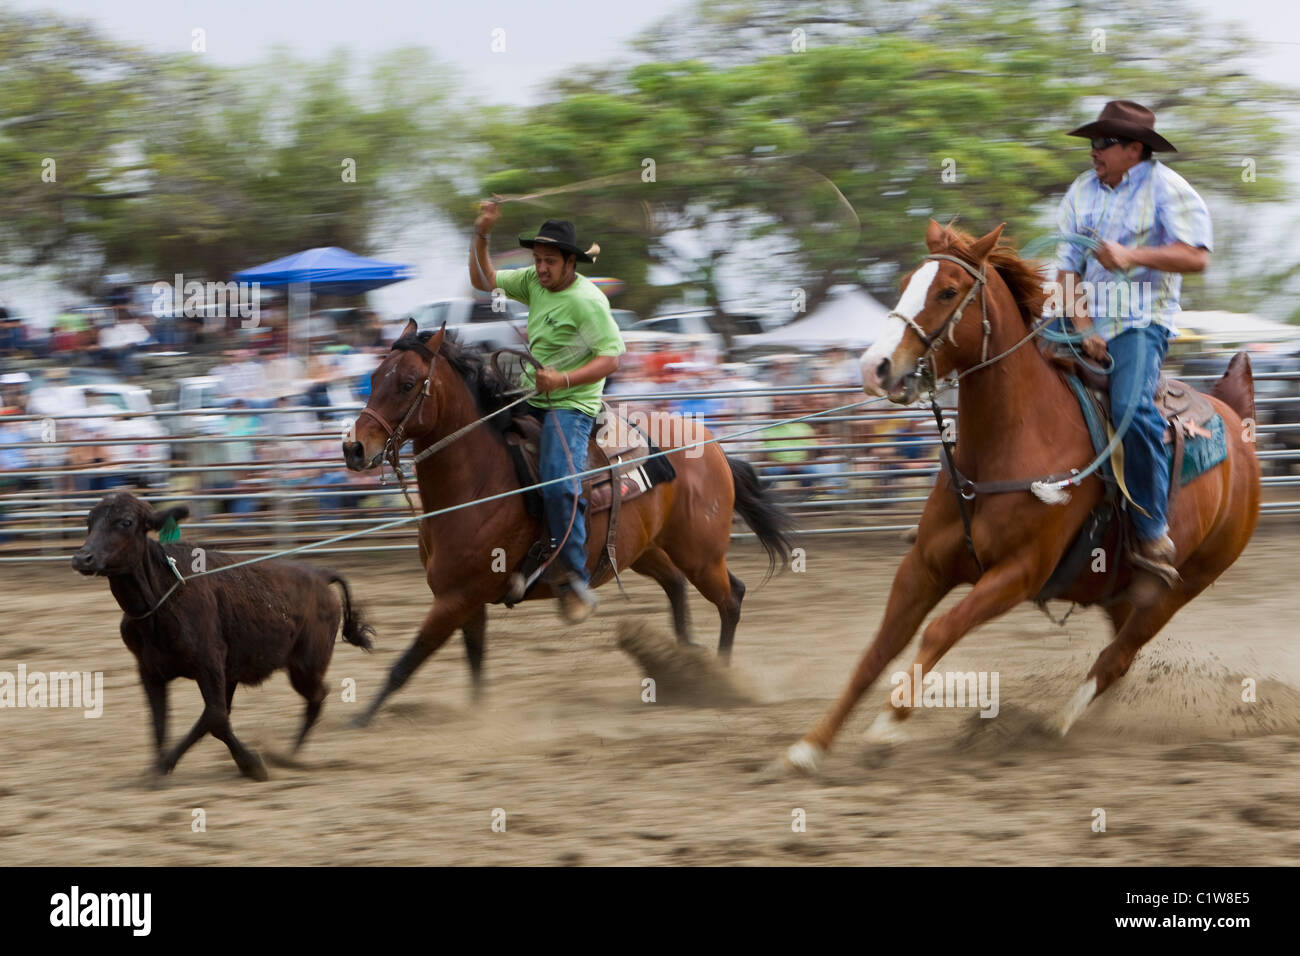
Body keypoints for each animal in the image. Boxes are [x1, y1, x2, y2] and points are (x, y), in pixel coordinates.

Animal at [340, 321, 795, 723]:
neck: (481, 481)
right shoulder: (466, 602)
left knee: (731, 598)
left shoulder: (455, 599)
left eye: (407, 383)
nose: (353, 447)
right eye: (374, 377)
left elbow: (406, 663)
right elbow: (475, 666)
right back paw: (687, 666)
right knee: (678, 587)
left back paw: (718, 680)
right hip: (644, 550)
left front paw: (359, 719)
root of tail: (714, 446)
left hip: (699, 553)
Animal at [780, 221, 1258, 775]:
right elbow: (878, 649)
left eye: (947, 291)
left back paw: (1056, 725)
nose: (874, 367)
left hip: (1183, 585)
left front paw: (885, 728)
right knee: (1121, 653)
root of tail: (1234, 416)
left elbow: (939, 631)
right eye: (905, 283)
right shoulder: (923, 566)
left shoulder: (1017, 574)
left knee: (1117, 657)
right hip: (1123, 589)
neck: (1009, 445)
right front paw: (811, 744)